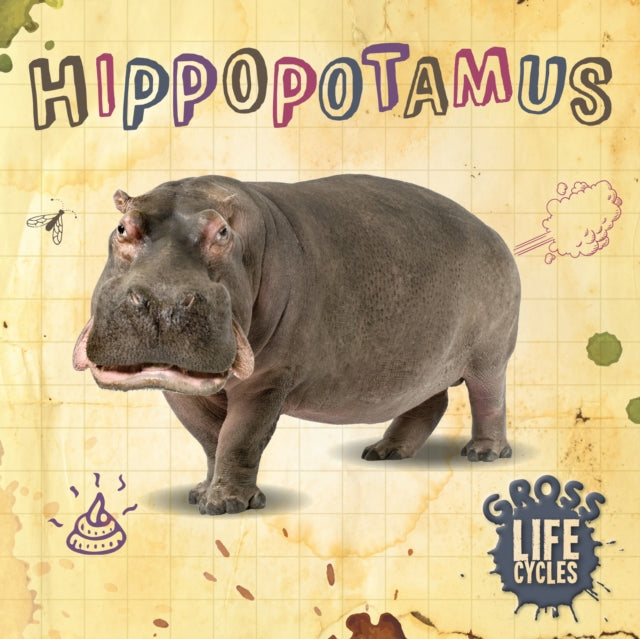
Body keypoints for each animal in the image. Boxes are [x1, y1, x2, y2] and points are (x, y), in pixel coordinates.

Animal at [73, 174, 520, 515]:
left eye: (222, 232)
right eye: (122, 227)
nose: (162, 302)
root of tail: (494, 234)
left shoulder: (268, 379)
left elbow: (240, 436)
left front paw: (226, 504)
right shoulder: (179, 390)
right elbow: (209, 438)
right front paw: (201, 492)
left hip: (489, 356)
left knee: (488, 399)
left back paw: (483, 453)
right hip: (421, 364)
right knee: (429, 402)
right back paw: (384, 451)